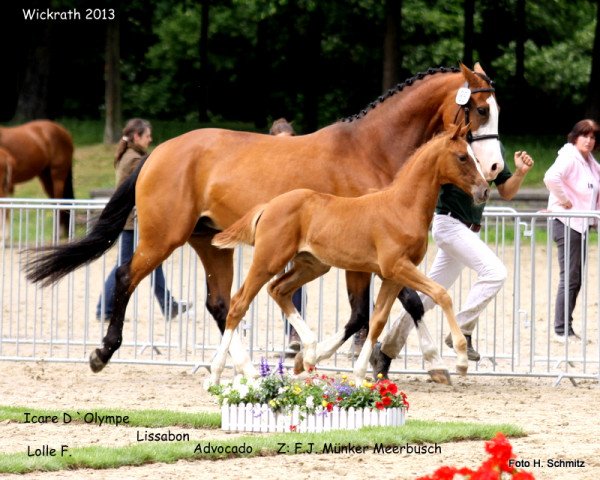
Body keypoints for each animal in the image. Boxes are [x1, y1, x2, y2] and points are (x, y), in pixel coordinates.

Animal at [209, 124, 490, 386]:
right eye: (462, 157)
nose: (485, 190)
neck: (402, 207)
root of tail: (268, 205)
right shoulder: (397, 267)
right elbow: (442, 295)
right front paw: (461, 359)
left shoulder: (392, 276)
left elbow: (377, 321)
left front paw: (359, 374)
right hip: (267, 261)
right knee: (238, 304)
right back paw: (218, 374)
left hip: (312, 265)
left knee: (278, 290)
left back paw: (308, 353)